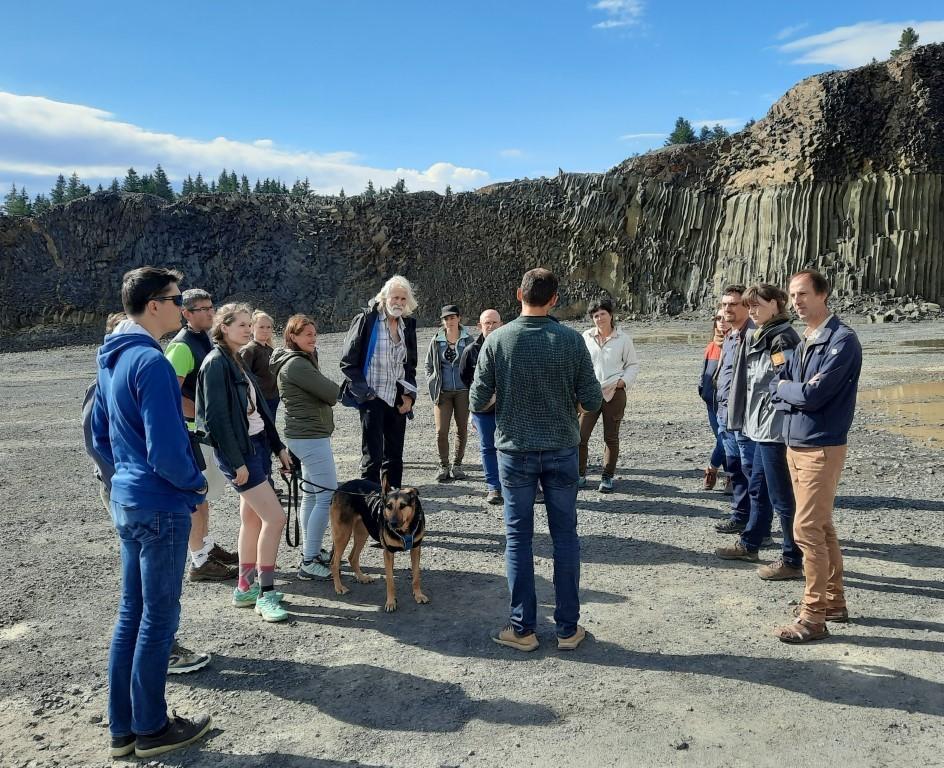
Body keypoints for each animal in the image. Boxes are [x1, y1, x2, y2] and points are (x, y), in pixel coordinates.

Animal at [326, 480, 426, 612]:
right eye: (388, 506)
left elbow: (416, 576)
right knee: (334, 563)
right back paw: (339, 587)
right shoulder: (388, 552)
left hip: (362, 532)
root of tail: (341, 488)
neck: (405, 529)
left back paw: (362, 577)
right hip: (343, 534)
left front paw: (419, 595)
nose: (392, 524)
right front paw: (390, 602)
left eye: (403, 505)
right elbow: (390, 580)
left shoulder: (416, 548)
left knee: (352, 557)